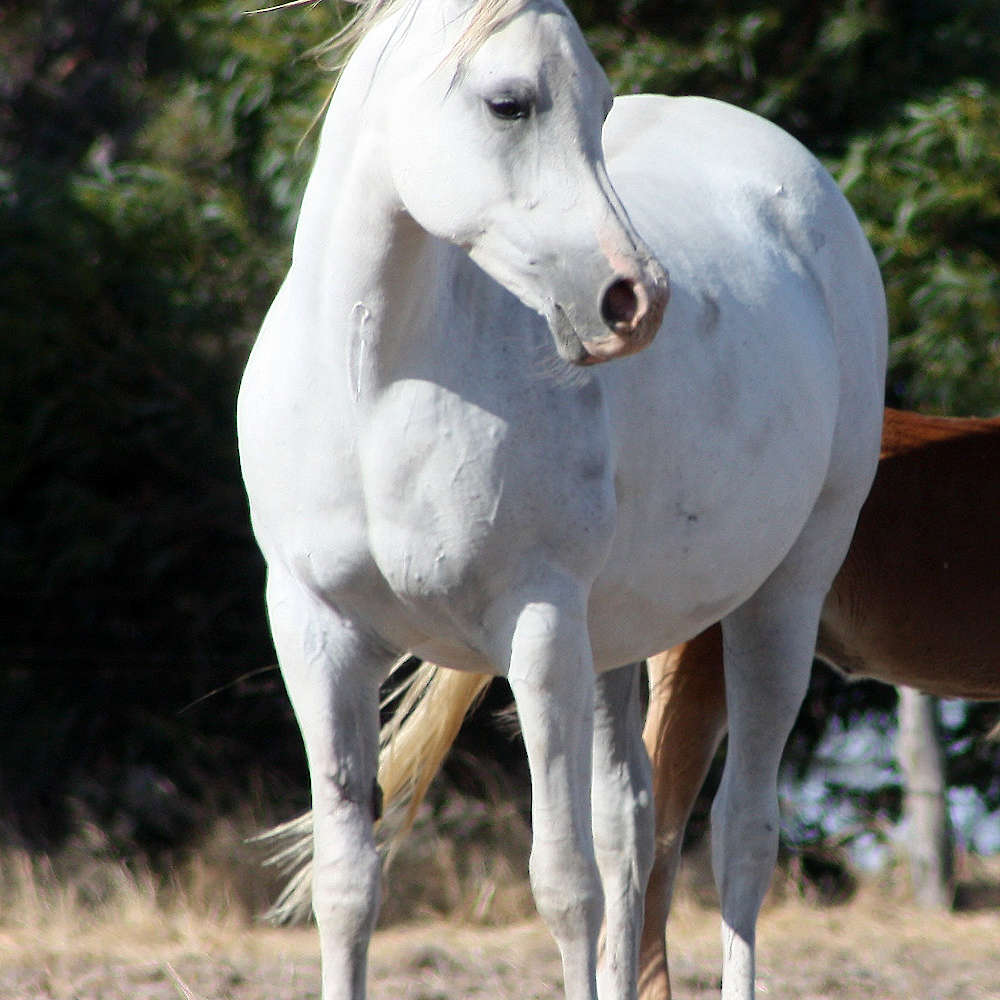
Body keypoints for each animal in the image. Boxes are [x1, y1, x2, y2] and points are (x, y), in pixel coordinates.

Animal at [236, 0, 886, 997]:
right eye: (510, 102)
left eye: (601, 104)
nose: (634, 300)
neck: (379, 386)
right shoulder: (317, 632)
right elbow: (347, 887)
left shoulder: (537, 628)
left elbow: (561, 882)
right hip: (616, 638)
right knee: (633, 832)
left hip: (783, 599)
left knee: (741, 837)